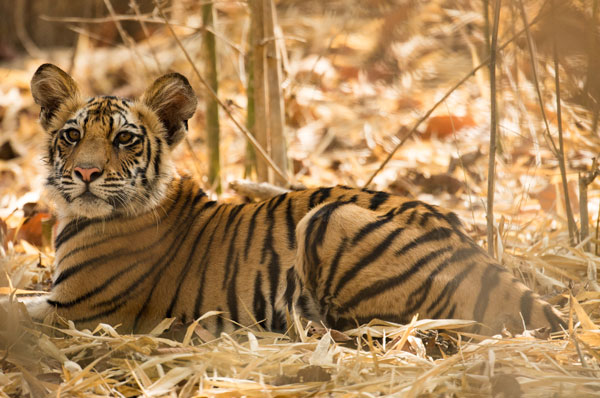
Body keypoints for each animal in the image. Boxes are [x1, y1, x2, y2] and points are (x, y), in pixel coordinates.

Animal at [12, 63, 564, 336]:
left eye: (125, 139)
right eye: (71, 135)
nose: (85, 172)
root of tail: (474, 251)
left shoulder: (77, 309)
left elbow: (12, 311)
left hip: (328, 219)